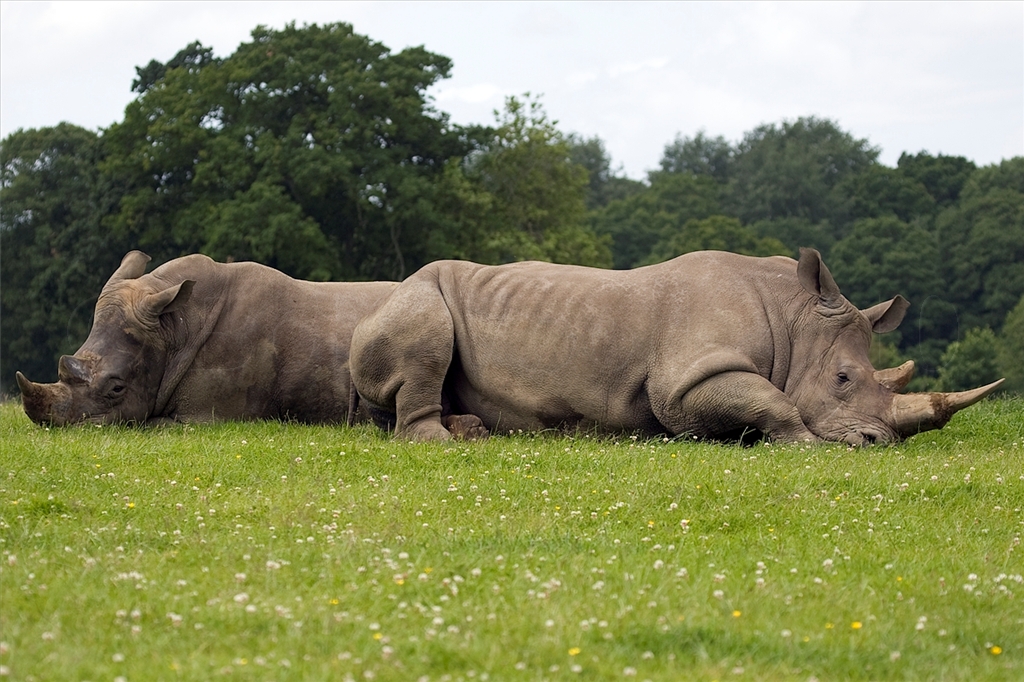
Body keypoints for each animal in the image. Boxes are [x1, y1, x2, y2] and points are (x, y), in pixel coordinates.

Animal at [349, 248, 1002, 444]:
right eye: (842, 380)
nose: (879, 442)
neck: (792, 316)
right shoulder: (685, 382)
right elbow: (774, 400)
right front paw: (806, 444)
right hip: (411, 297)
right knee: (425, 333)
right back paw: (440, 441)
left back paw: (470, 430)